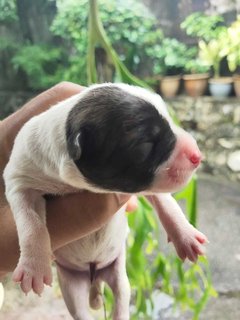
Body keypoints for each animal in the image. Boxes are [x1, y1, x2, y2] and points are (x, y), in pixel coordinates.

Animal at [3, 84, 206, 318]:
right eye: (145, 144)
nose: (197, 155)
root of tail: (94, 274)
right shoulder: (20, 178)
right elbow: (31, 223)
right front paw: (33, 267)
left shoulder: (143, 184)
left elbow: (166, 202)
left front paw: (185, 235)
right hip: (71, 282)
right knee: (80, 310)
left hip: (118, 273)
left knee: (121, 297)